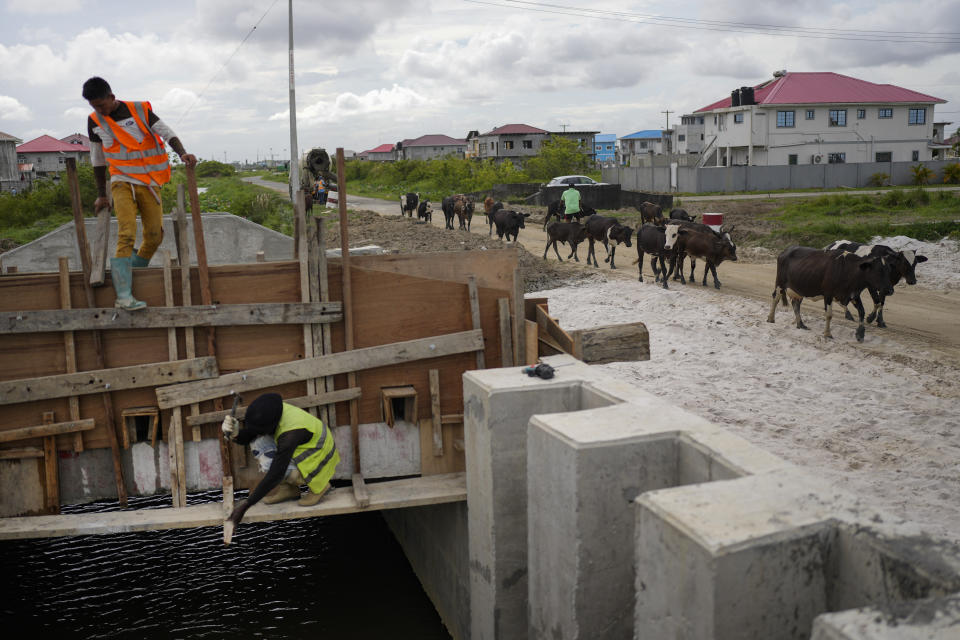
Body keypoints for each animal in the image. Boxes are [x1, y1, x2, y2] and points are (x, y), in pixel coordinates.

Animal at [768, 246, 896, 344]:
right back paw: (771, 318)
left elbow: (862, 312)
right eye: (878, 271)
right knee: (775, 297)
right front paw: (828, 333)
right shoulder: (828, 294)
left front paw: (860, 334)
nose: (890, 290)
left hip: (799, 288)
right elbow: (829, 314)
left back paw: (801, 324)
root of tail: (787, 250)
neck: (848, 270)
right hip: (780, 282)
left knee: (796, 304)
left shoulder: (853, 295)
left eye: (889, 270)